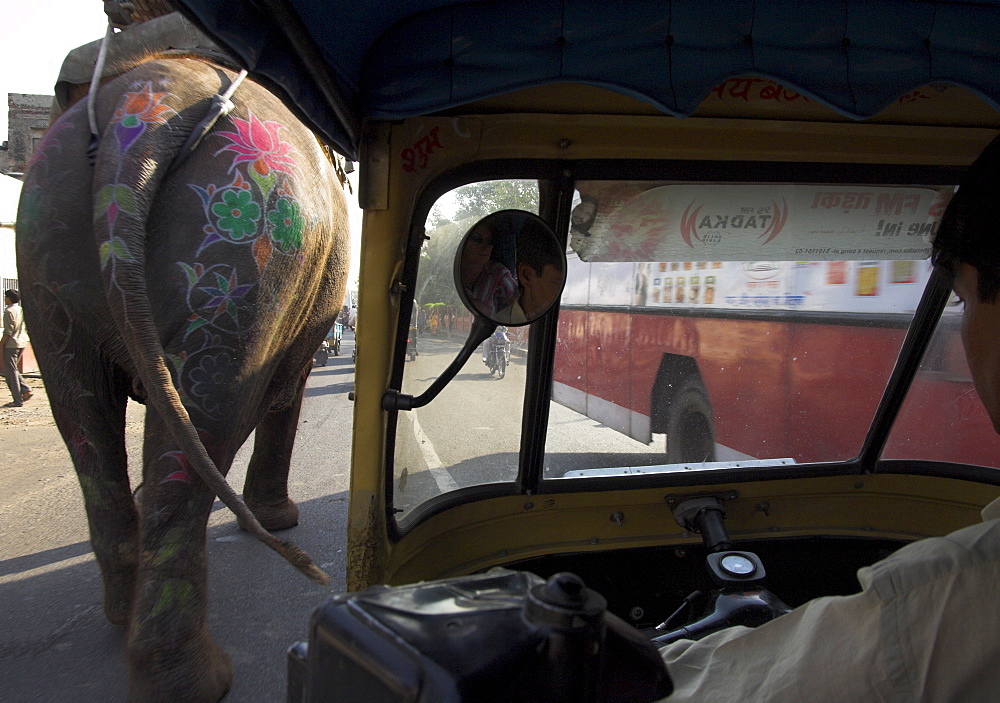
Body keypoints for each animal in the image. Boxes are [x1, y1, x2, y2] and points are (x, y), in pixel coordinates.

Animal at [14, 52, 352, 700]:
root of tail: (147, 106)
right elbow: (285, 393)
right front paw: (280, 521)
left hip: (51, 247)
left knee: (89, 419)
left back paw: (129, 618)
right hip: (253, 260)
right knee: (204, 414)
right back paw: (199, 680)